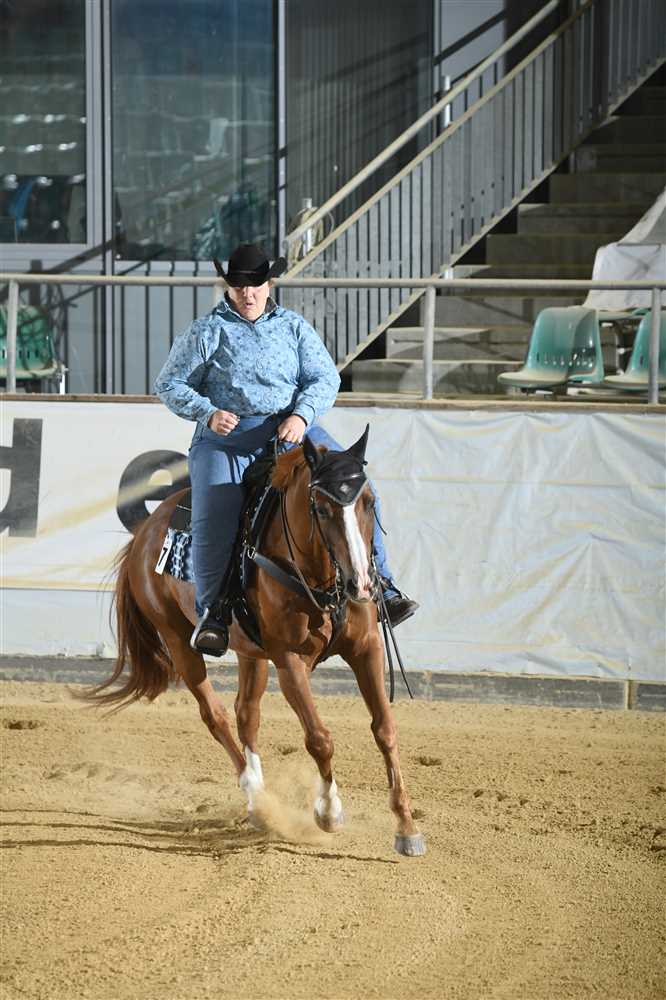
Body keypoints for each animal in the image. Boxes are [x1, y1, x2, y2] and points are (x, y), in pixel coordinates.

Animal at [84, 426, 426, 857]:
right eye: (321, 508)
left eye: (368, 501)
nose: (361, 584)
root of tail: (144, 535)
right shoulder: (289, 659)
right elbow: (319, 739)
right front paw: (329, 813)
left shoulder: (366, 649)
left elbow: (385, 729)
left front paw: (407, 827)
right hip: (179, 641)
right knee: (215, 715)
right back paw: (257, 797)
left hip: (251, 653)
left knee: (246, 714)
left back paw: (258, 797)